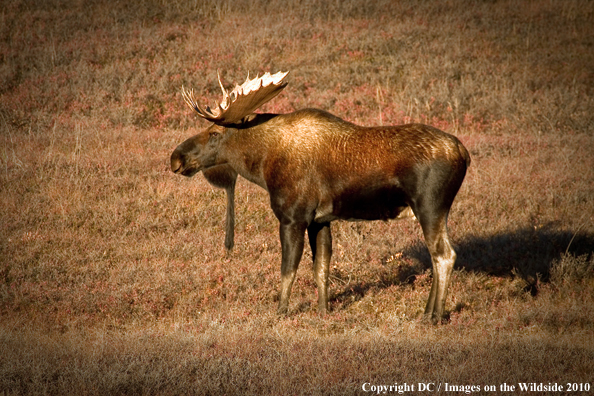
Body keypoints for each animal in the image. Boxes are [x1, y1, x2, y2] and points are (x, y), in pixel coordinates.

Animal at [170, 71, 468, 324]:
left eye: (214, 133)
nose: (176, 158)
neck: (263, 165)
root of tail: (463, 152)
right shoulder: (320, 220)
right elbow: (321, 268)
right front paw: (323, 311)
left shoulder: (293, 217)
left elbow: (288, 269)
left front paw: (281, 312)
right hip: (432, 211)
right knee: (436, 255)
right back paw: (427, 311)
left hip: (429, 206)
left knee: (445, 255)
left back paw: (434, 316)